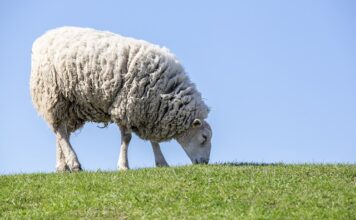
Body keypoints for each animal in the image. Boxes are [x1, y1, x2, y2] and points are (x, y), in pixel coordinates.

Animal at [29, 27, 211, 172]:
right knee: (60, 131)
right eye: (204, 138)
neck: (164, 91)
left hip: (69, 105)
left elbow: (152, 140)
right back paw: (74, 163)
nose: (204, 163)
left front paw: (161, 162)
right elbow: (127, 138)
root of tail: (41, 39)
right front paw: (123, 165)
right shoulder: (126, 106)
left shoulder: (149, 111)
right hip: (53, 95)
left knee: (62, 133)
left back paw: (62, 166)